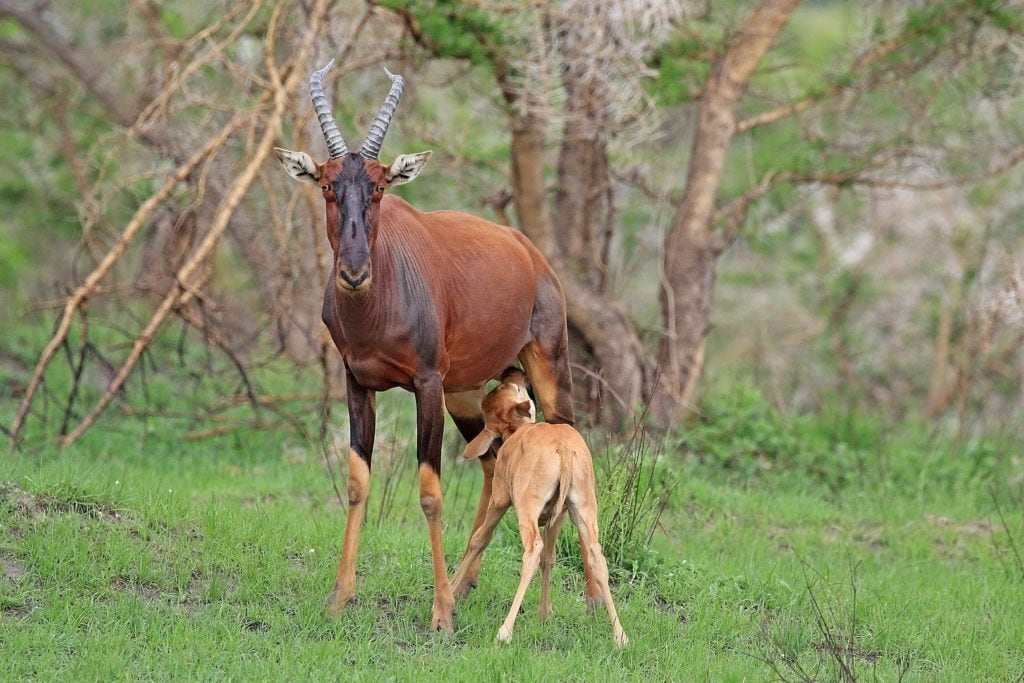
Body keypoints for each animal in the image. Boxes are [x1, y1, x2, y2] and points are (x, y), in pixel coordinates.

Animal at [274, 61, 574, 632]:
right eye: (326, 185)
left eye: (379, 187)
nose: (354, 272)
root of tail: (530, 252)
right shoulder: (358, 383)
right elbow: (357, 482)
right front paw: (341, 597)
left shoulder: (426, 384)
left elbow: (431, 493)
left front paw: (441, 616)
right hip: (469, 392)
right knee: (491, 465)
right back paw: (465, 583)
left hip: (545, 369)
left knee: (565, 446)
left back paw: (562, 604)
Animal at [452, 370, 627, 647]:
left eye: (504, 387)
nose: (514, 371)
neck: (517, 432)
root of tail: (563, 449)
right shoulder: (558, 517)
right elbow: (549, 558)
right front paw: (545, 614)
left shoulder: (499, 499)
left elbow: (479, 539)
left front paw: (449, 592)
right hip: (584, 507)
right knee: (595, 556)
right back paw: (620, 635)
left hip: (527, 507)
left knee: (532, 548)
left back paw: (505, 631)